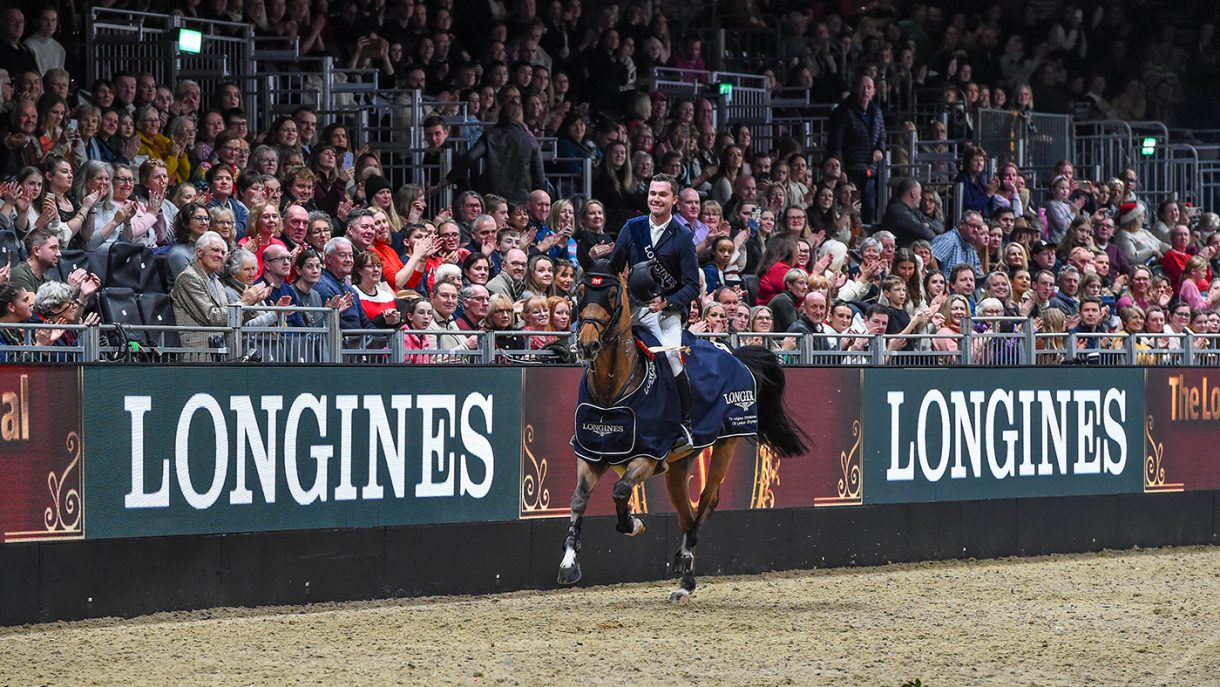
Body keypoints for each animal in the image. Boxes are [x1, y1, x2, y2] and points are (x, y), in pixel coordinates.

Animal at [558, 265, 809, 601]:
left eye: (611, 294)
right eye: (582, 291)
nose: (587, 345)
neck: (612, 391)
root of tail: (733, 354)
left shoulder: (648, 456)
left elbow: (620, 490)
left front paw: (634, 524)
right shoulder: (591, 454)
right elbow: (577, 500)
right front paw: (569, 564)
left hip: (726, 443)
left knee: (706, 501)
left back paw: (685, 558)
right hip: (678, 468)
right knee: (686, 513)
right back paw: (685, 579)